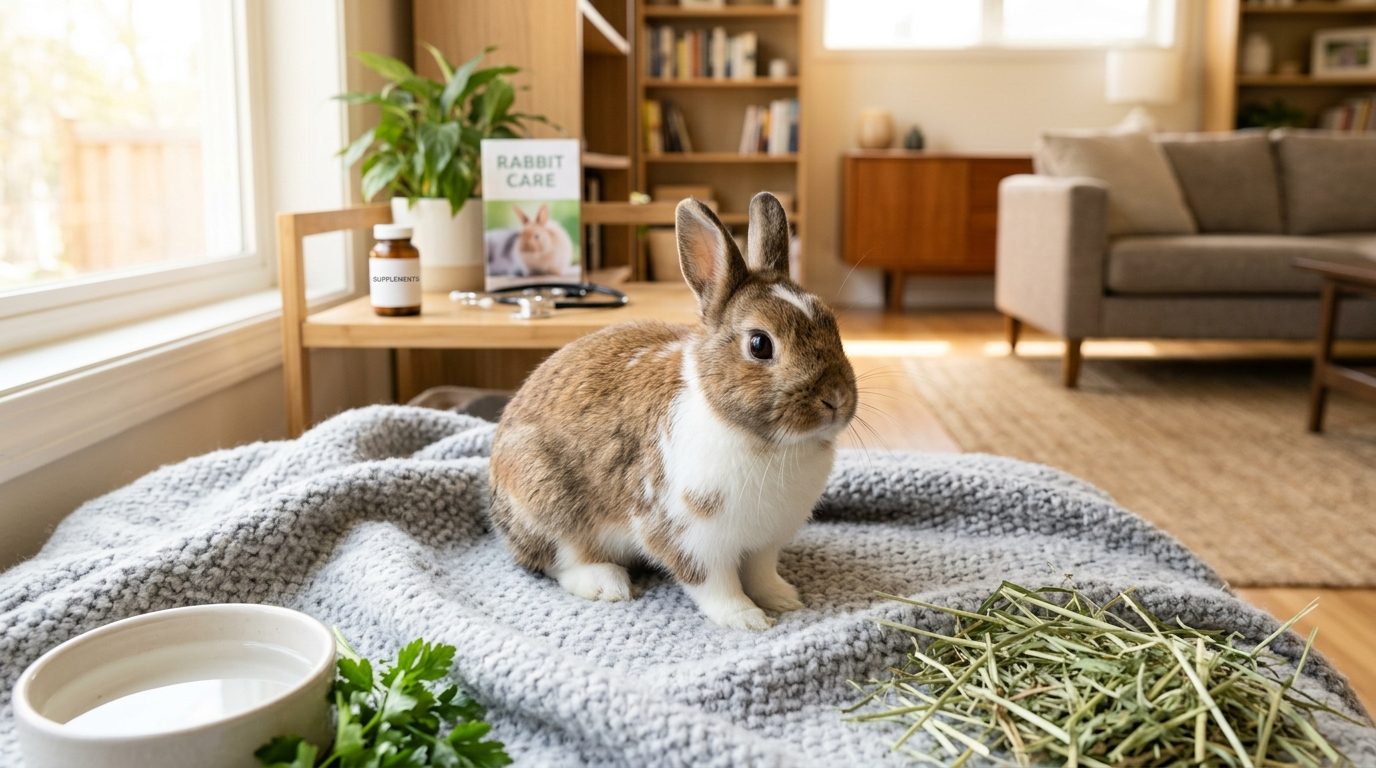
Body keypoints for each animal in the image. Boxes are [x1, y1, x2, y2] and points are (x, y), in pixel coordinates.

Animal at [489, 192, 857, 631]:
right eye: (760, 344)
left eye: (832, 323)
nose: (836, 399)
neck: (765, 442)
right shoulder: (690, 538)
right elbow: (715, 585)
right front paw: (747, 619)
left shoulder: (763, 543)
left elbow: (761, 574)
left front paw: (784, 599)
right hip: (546, 501)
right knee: (556, 559)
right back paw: (608, 584)